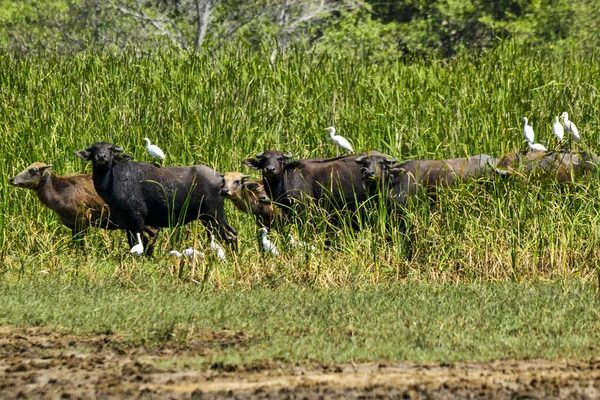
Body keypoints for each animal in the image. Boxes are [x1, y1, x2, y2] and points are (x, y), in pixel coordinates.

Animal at [74, 142, 236, 255]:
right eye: (94, 148)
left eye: (110, 149)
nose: (101, 157)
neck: (115, 179)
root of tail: (221, 177)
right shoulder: (127, 223)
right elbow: (135, 242)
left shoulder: (137, 217)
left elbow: (140, 241)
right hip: (207, 219)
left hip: (215, 215)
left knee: (230, 234)